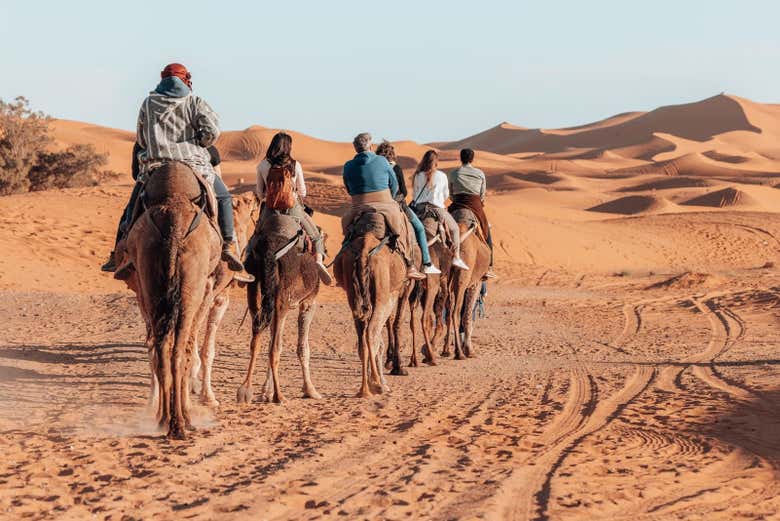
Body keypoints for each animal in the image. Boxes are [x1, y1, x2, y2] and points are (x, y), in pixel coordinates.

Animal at [116, 162, 219, 438]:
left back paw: (165, 420)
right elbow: (190, 350)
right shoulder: (206, 288)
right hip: (191, 286)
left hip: (150, 273)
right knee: (179, 350)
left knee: (161, 348)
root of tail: (174, 224)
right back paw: (180, 423)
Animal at [238, 210, 322, 402]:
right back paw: (279, 395)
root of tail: (270, 253)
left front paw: (265, 391)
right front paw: (310, 390)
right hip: (281, 301)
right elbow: (302, 347)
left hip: (255, 292)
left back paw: (245, 390)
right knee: (274, 348)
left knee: (256, 341)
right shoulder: (308, 302)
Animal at [334, 210, 412, 394]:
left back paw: (364, 389)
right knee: (371, 332)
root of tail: (364, 251)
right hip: (381, 295)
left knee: (362, 337)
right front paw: (394, 370)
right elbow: (393, 324)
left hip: (354, 295)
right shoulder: (401, 290)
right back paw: (377, 383)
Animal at [444, 209, 488, 360]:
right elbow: (467, 314)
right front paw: (469, 350)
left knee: (447, 310)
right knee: (455, 312)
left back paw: (444, 350)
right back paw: (459, 353)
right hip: (463, 278)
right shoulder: (475, 283)